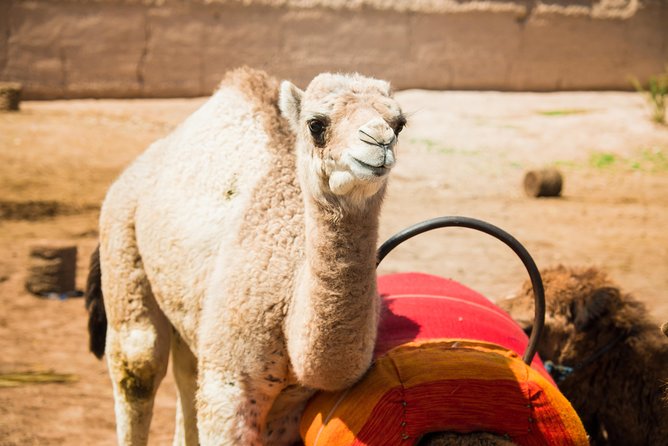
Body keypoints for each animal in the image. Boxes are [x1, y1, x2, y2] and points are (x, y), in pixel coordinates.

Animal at [88, 67, 407, 445]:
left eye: (399, 124)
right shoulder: (229, 382)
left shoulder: (294, 410)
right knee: (138, 364)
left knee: (186, 372)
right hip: (120, 236)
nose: (379, 141)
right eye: (316, 124)